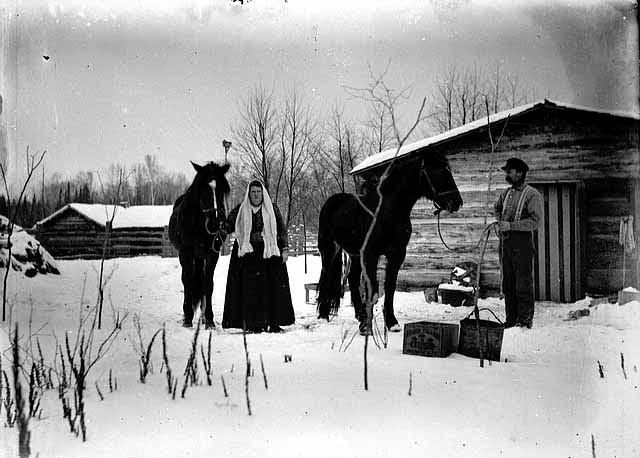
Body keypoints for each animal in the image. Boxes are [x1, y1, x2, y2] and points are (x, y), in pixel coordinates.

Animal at [169, 161, 231, 330]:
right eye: (203, 191)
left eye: (222, 190)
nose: (216, 224)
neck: (198, 224)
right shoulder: (185, 253)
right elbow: (188, 282)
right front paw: (188, 318)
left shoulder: (212, 254)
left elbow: (208, 284)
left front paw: (209, 320)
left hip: (200, 257)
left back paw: (202, 317)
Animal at [318, 152, 462, 334]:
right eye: (439, 171)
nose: (457, 202)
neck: (386, 212)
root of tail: (333, 201)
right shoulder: (371, 254)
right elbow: (372, 288)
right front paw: (366, 326)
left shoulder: (397, 254)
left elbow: (390, 287)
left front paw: (391, 323)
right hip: (329, 249)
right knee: (326, 276)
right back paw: (323, 315)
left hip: (355, 254)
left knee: (352, 278)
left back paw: (359, 315)